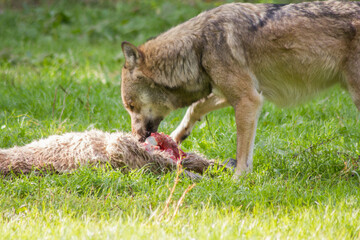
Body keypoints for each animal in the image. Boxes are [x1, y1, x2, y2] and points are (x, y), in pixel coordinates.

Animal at [121, 0, 360, 175]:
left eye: (131, 106)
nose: (136, 139)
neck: (198, 48)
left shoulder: (248, 100)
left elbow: (243, 152)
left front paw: (238, 179)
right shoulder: (234, 93)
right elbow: (195, 108)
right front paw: (176, 137)